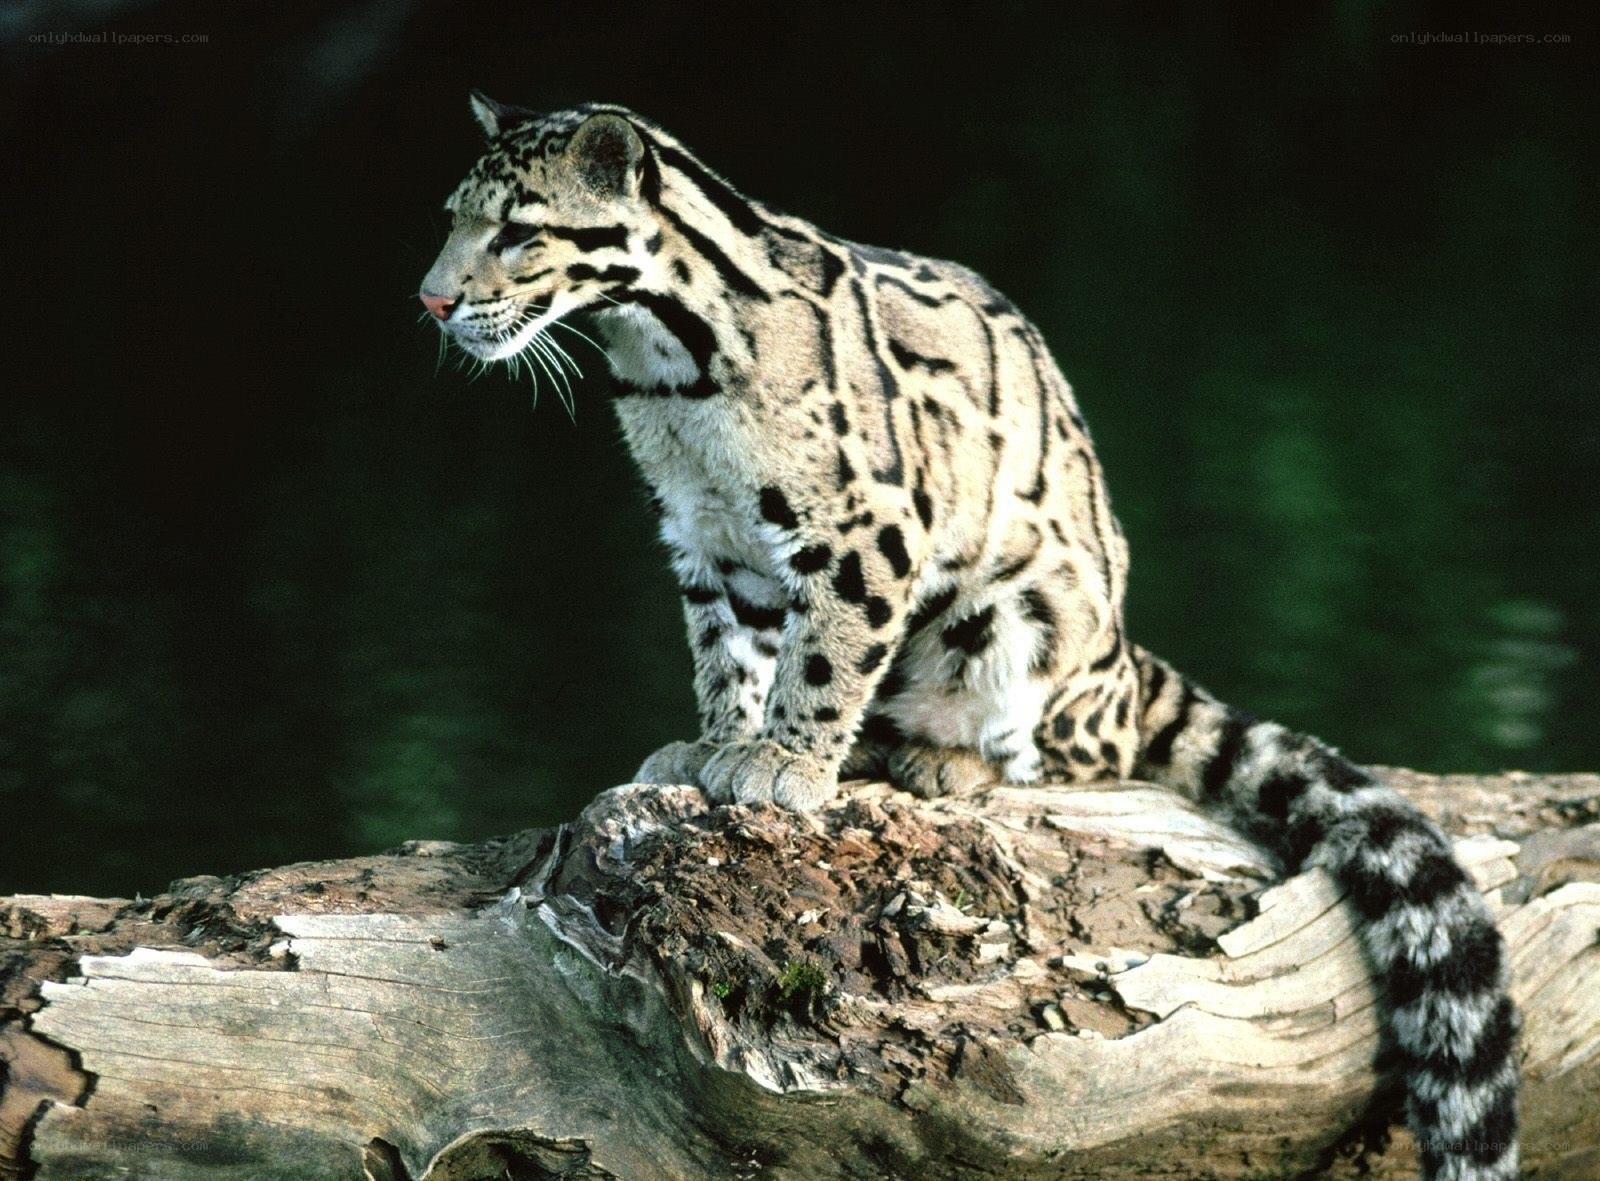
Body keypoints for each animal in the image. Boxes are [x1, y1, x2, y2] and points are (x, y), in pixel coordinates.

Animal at [420, 94, 1519, 1181]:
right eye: (452, 218)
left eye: (516, 231)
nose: (430, 301)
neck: (666, 368)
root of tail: (1126, 664)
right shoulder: (707, 537)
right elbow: (727, 653)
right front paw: (715, 742)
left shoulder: (867, 527)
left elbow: (822, 657)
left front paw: (783, 762)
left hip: (1018, 620)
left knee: (1067, 754)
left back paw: (943, 759)